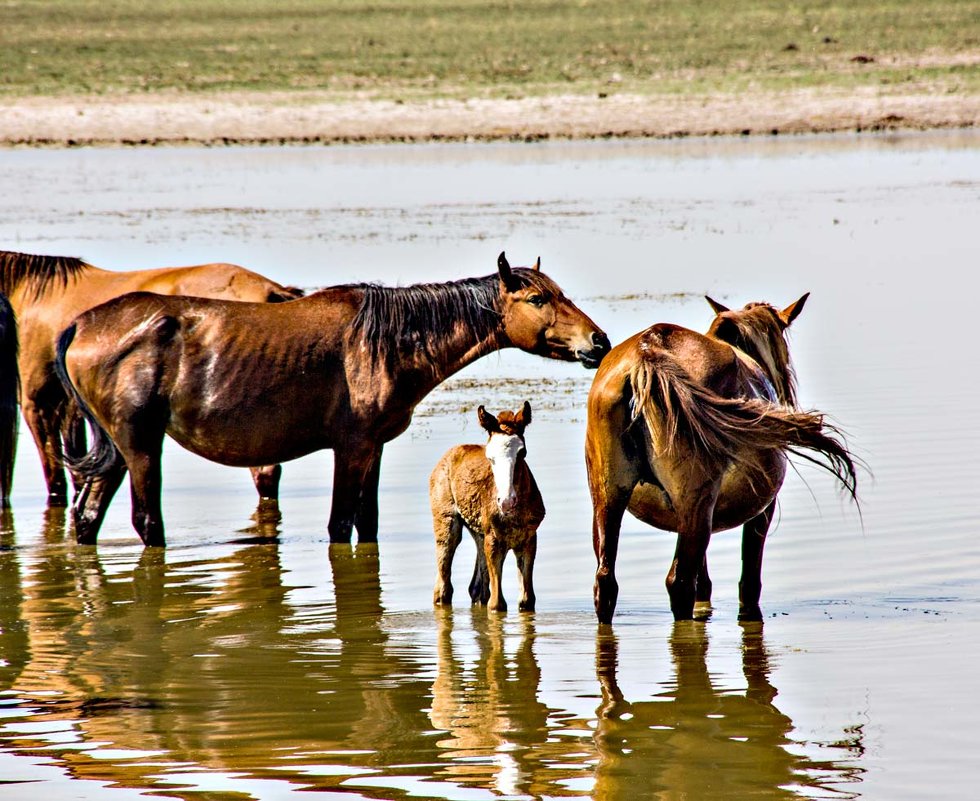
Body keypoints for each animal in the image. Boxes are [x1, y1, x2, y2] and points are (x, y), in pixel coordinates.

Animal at [57, 253, 608, 548]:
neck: (385, 341)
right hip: (140, 444)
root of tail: (81, 324)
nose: (598, 342)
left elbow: (368, 523)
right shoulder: (352, 448)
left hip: (118, 449)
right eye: (538, 299)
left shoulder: (374, 449)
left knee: (87, 517)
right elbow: (341, 524)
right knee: (146, 520)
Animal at [432, 400, 548, 612]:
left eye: (522, 452)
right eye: (490, 456)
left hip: (479, 532)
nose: (507, 501)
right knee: (443, 589)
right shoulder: (494, 541)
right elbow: (497, 605)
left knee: (477, 588)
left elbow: (526, 601)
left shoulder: (528, 539)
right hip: (447, 524)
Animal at [584, 296, 852, 624]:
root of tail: (647, 354)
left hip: (608, 496)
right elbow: (749, 581)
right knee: (679, 582)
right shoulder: (762, 510)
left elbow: (705, 582)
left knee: (606, 581)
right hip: (695, 500)